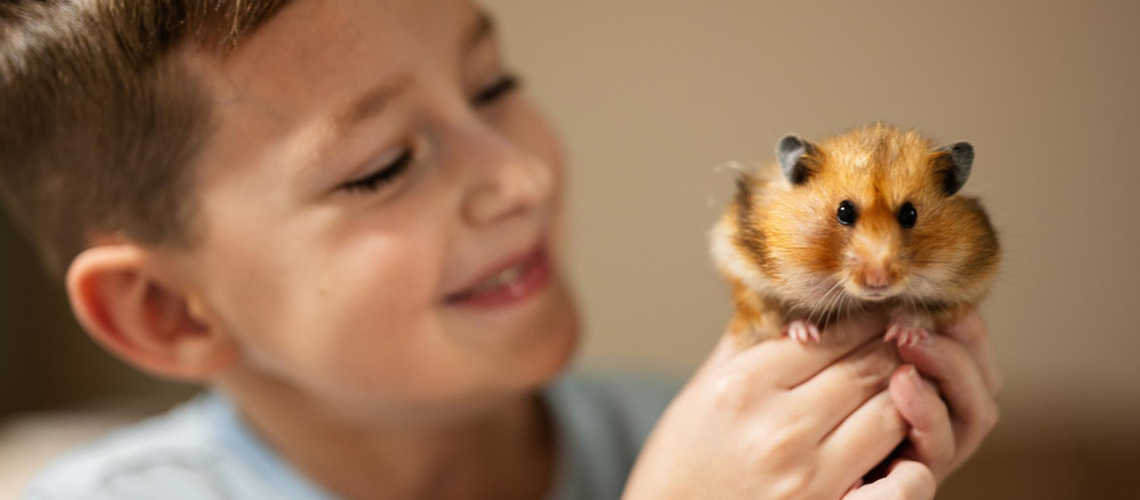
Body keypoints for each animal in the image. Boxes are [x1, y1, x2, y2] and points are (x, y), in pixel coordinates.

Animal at [706, 123, 1003, 346]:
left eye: (910, 214)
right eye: (844, 211)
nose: (877, 282)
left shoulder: (968, 288)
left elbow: (929, 314)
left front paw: (902, 335)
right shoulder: (743, 268)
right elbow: (767, 313)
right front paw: (803, 334)